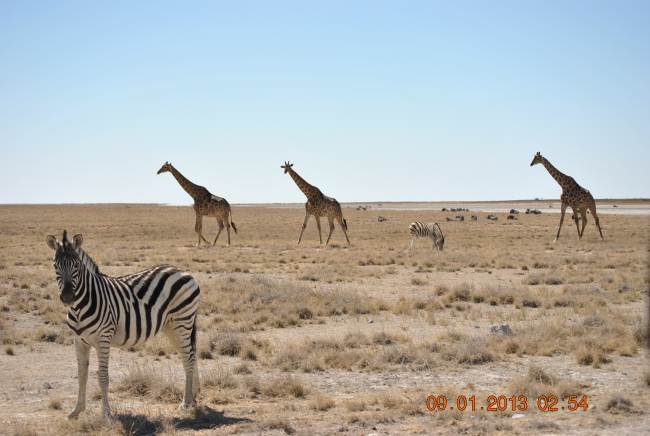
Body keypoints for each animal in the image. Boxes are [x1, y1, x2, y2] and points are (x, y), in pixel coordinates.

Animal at [45, 230, 201, 419]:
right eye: (55, 265)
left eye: (76, 265)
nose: (67, 297)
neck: (80, 307)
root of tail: (182, 271)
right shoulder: (79, 341)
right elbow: (81, 375)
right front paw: (76, 411)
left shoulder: (103, 338)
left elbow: (103, 377)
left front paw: (107, 414)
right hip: (171, 327)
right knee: (190, 355)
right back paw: (193, 397)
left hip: (182, 322)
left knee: (189, 358)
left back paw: (186, 403)